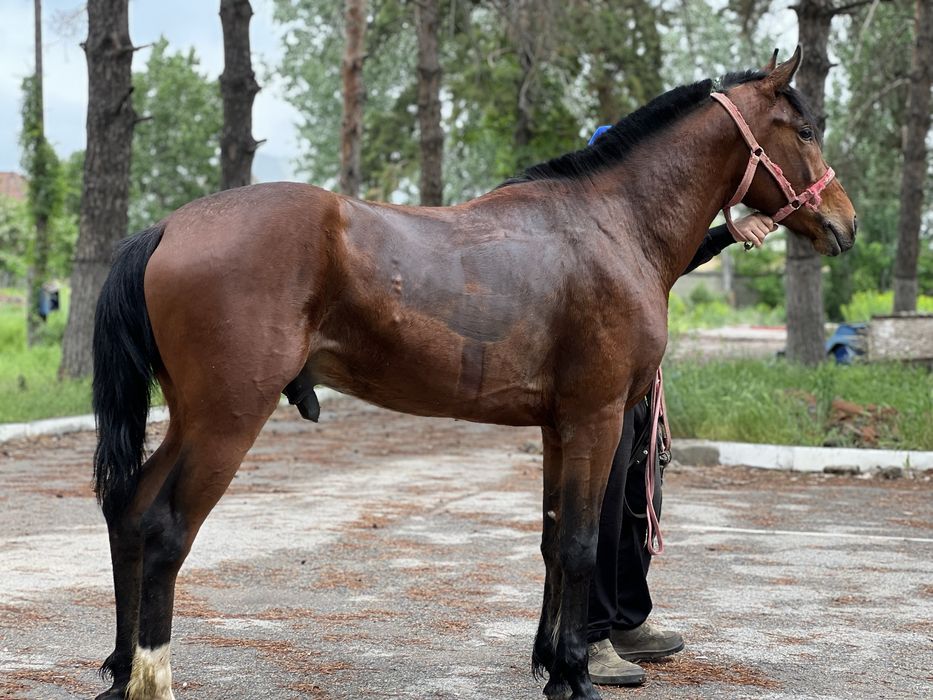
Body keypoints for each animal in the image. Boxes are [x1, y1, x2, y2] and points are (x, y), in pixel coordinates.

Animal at [90, 48, 855, 700]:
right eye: (805, 129)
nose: (844, 223)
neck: (612, 226)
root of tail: (167, 228)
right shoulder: (597, 418)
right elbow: (582, 544)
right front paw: (576, 675)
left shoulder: (558, 428)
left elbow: (552, 540)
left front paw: (551, 663)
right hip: (225, 421)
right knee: (165, 528)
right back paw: (152, 676)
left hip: (189, 419)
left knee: (127, 510)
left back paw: (121, 666)